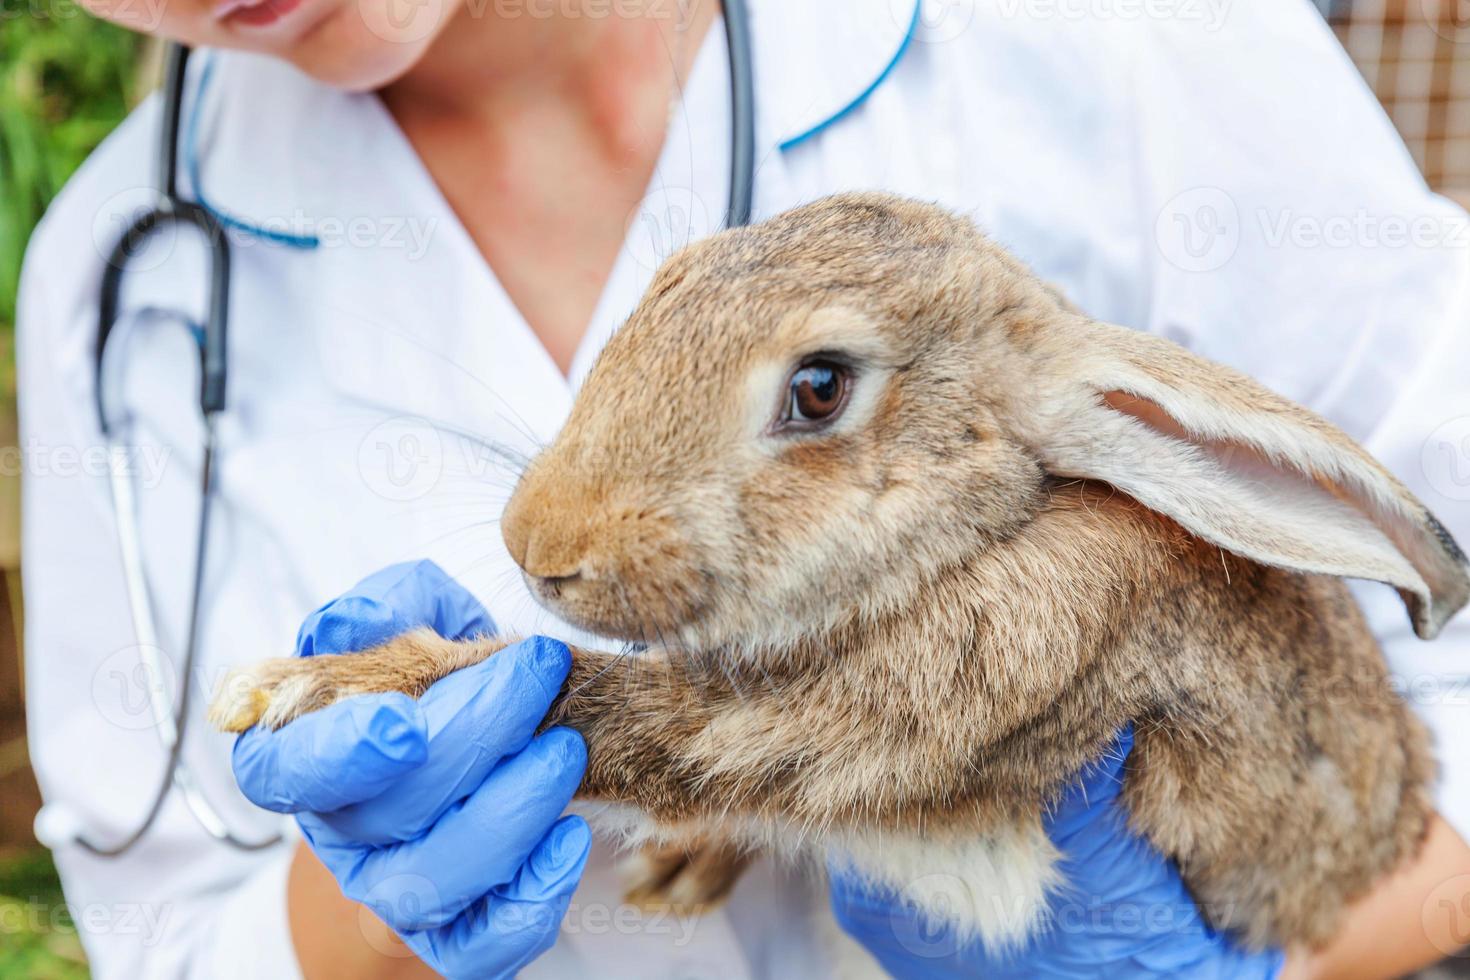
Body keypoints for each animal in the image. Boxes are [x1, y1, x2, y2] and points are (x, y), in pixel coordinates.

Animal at [213, 193, 1464, 957]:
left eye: (820, 388)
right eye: (672, 282)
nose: (539, 544)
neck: (977, 534)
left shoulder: (898, 713)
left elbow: (608, 707)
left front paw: (315, 689)